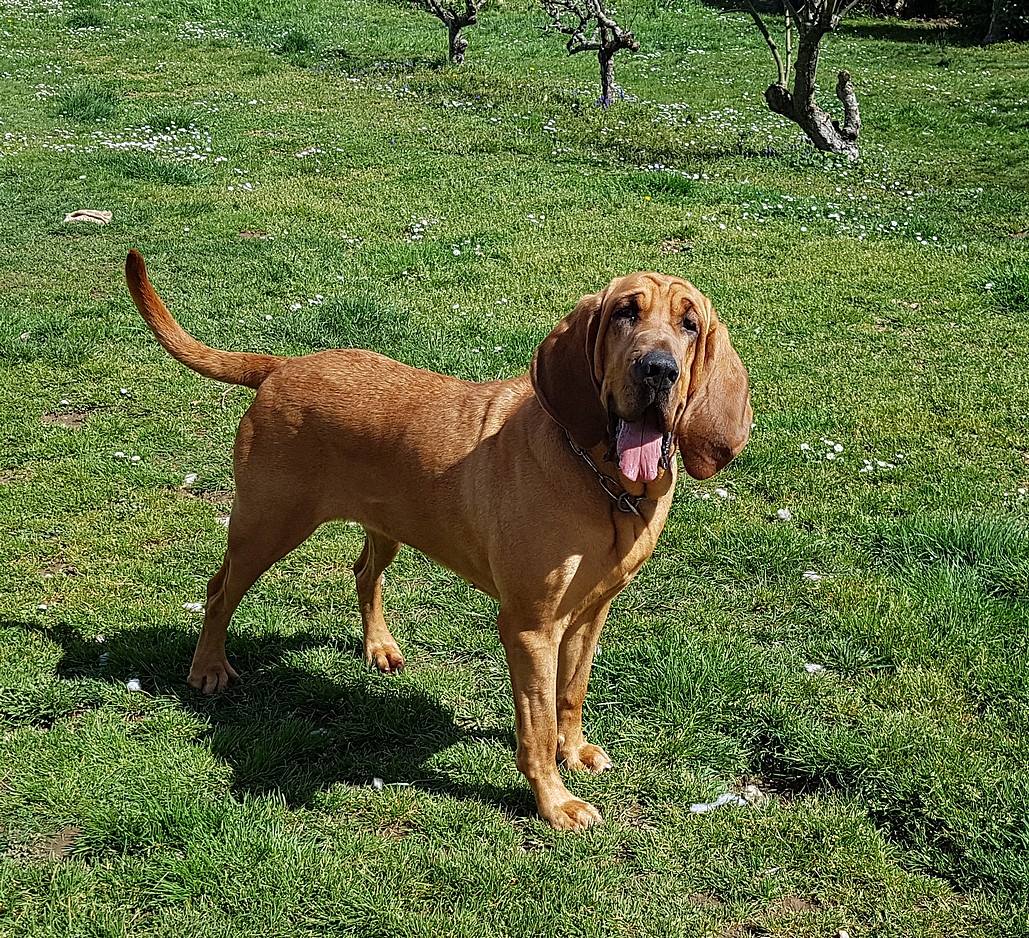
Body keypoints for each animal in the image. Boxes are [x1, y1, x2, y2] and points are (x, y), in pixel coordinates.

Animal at [124, 248, 753, 826]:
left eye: (690, 324)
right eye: (625, 312)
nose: (658, 369)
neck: (602, 480)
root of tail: (281, 366)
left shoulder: (590, 612)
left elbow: (570, 695)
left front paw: (572, 752)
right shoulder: (530, 628)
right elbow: (537, 723)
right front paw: (554, 803)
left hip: (385, 525)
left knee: (363, 572)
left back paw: (378, 646)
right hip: (266, 526)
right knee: (218, 590)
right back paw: (208, 667)